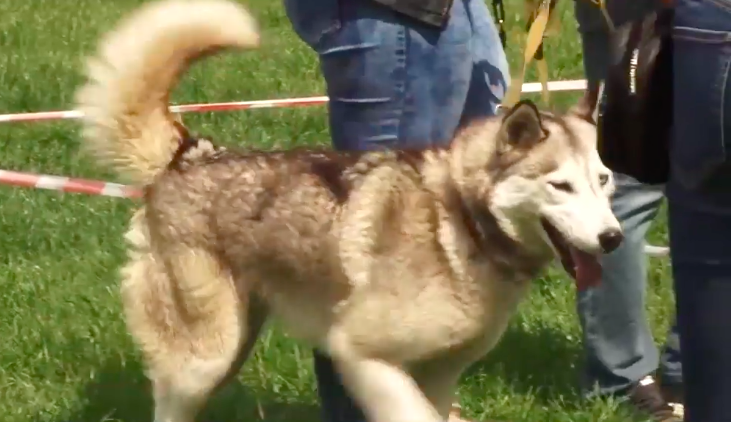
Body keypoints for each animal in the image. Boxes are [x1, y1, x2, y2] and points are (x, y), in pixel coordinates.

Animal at [74, 0, 624, 422]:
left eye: (603, 180)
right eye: (560, 185)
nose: (613, 239)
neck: (462, 223)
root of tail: (188, 154)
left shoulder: (440, 373)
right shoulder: (359, 353)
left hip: (235, 339)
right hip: (204, 359)